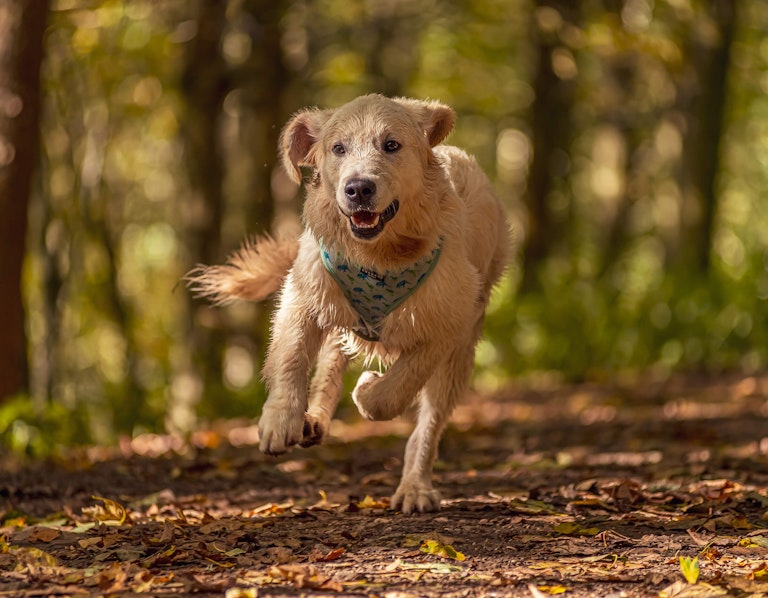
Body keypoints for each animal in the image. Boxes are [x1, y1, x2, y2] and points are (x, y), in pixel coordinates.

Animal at [188, 95, 508, 516]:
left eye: (391, 145)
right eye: (338, 148)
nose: (358, 188)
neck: (378, 255)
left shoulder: (448, 320)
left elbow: (394, 390)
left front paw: (369, 389)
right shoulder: (306, 291)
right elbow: (291, 355)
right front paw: (280, 419)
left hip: (461, 350)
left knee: (429, 421)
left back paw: (414, 486)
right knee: (330, 364)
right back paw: (315, 420)